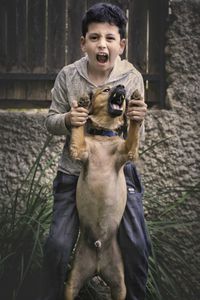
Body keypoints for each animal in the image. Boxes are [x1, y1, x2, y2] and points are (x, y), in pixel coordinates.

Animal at [65, 85, 141, 300]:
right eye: (106, 89)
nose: (122, 87)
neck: (103, 137)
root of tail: (97, 267)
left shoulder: (128, 150)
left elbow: (134, 129)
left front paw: (137, 103)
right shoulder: (79, 149)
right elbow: (78, 129)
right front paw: (81, 106)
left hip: (120, 286)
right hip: (72, 283)